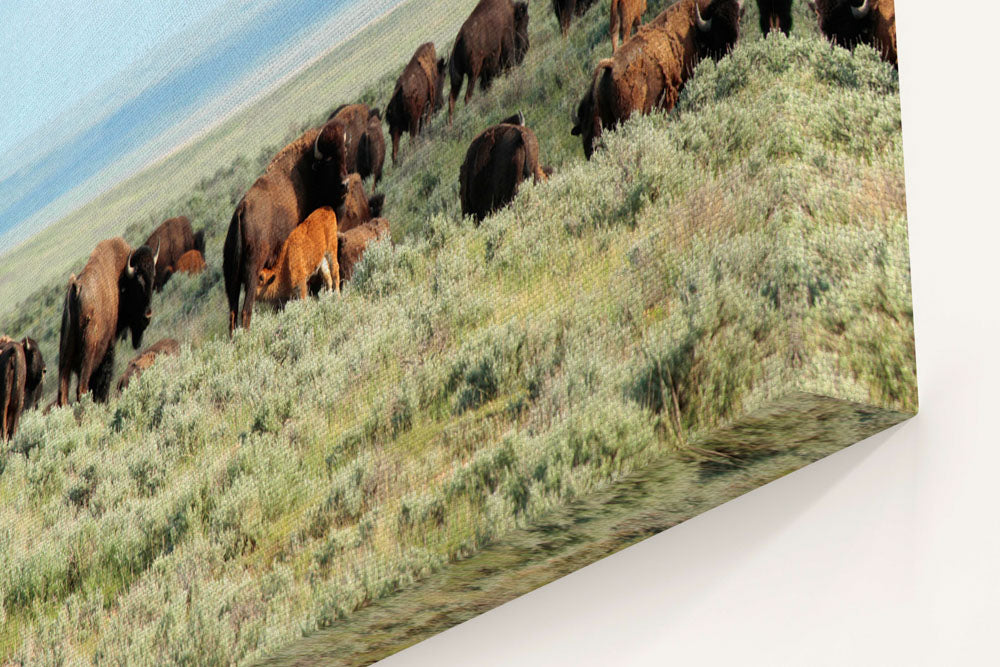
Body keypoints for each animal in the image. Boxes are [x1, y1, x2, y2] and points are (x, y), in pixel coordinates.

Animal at [57, 240, 159, 408]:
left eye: (153, 278)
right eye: (138, 283)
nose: (147, 316)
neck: (120, 279)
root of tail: (76, 290)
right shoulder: (108, 349)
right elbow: (103, 382)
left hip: (65, 355)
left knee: (62, 394)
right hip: (88, 354)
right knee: (82, 389)